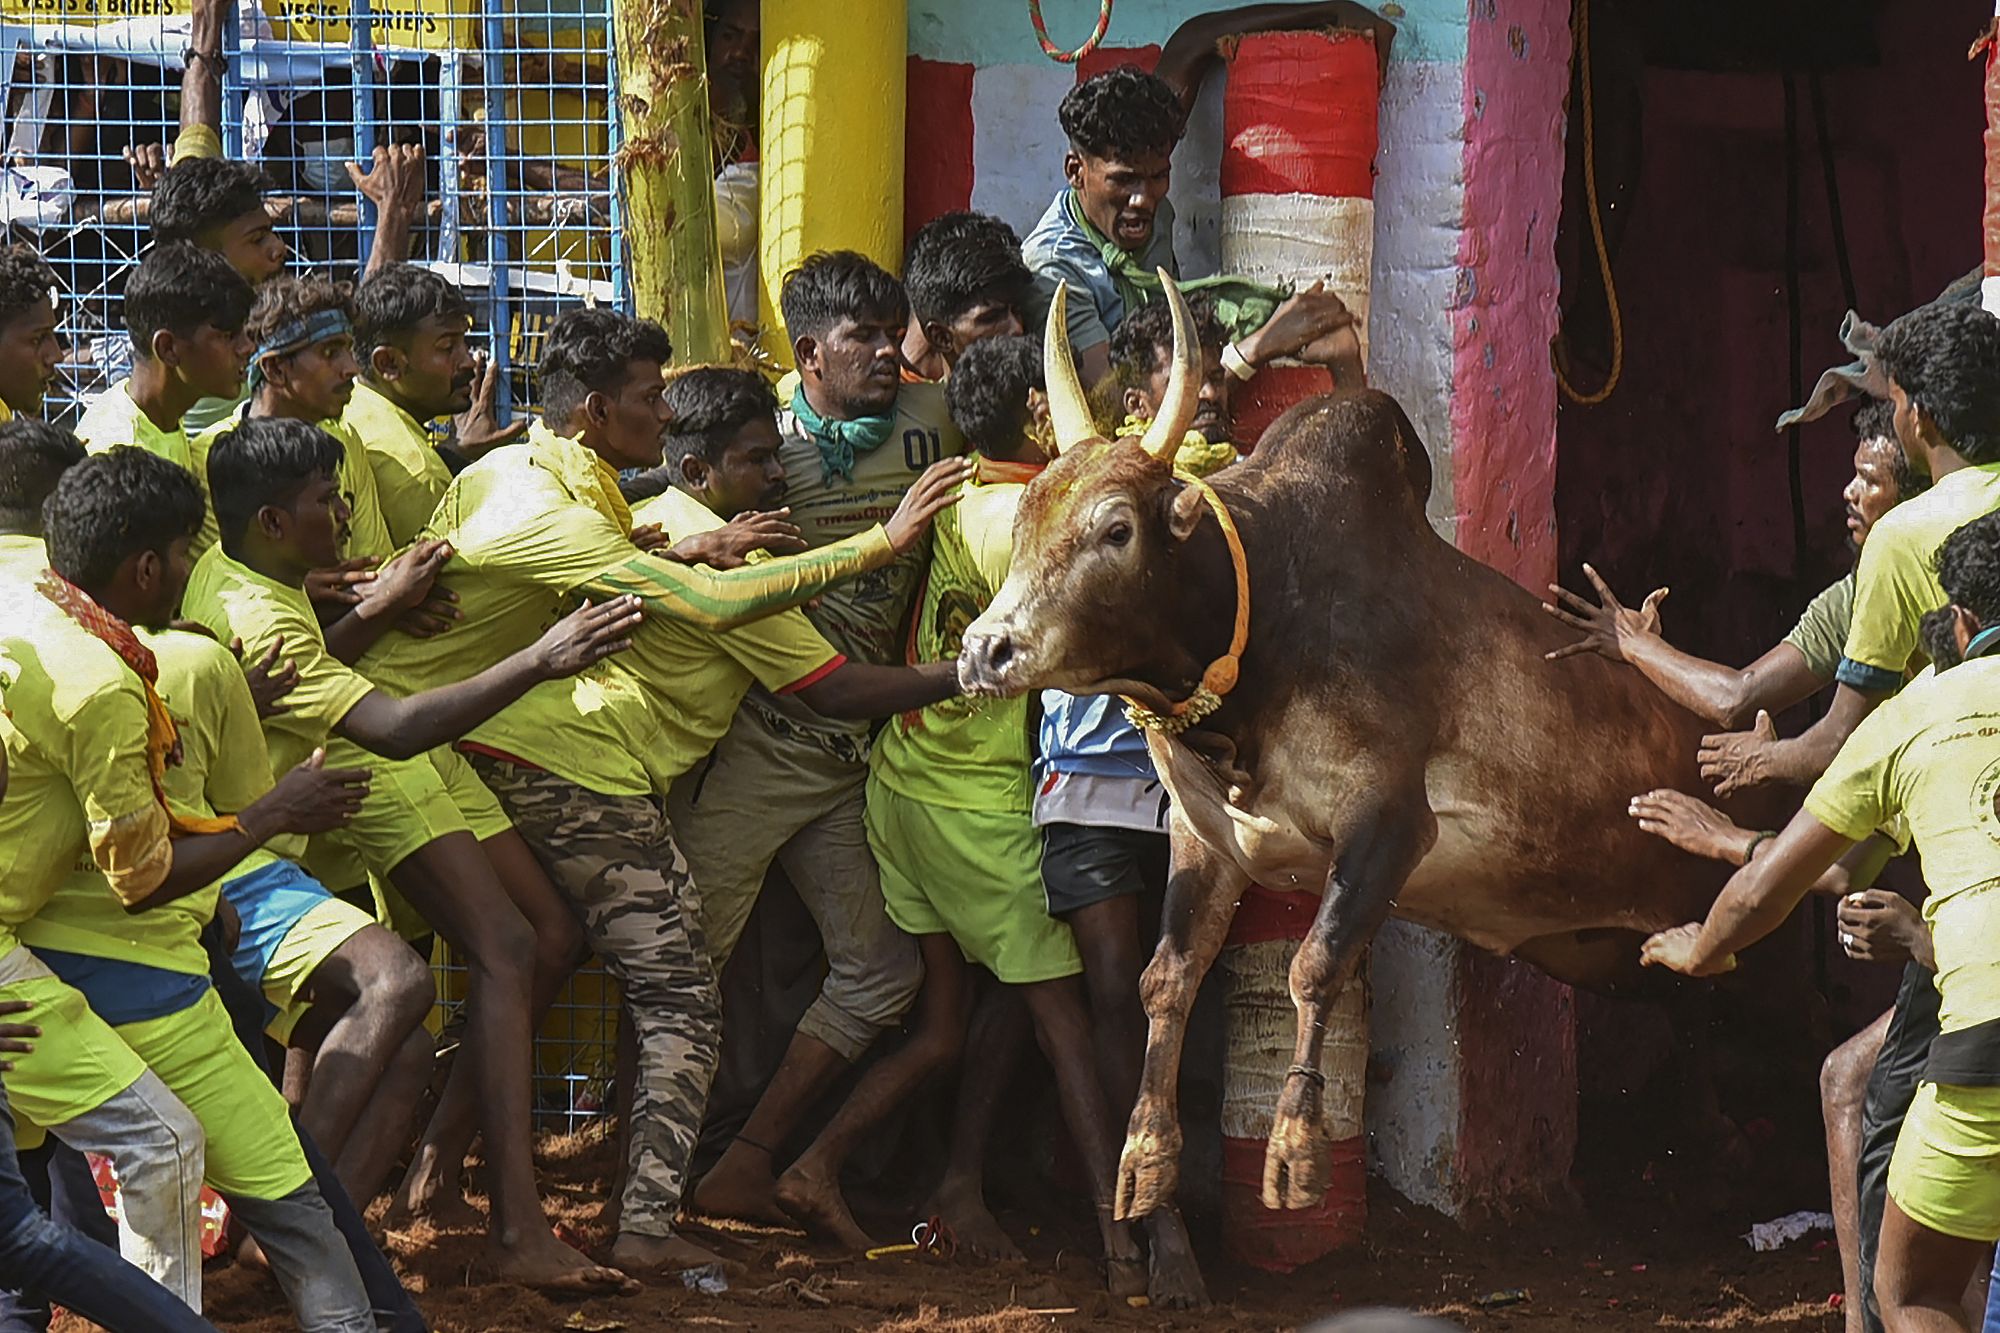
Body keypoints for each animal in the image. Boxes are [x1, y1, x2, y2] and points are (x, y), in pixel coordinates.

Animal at [960, 274, 1760, 1216]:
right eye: (1022, 520)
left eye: (1116, 528)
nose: (984, 651)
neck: (1264, 621)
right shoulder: (1204, 839)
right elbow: (1167, 977)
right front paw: (1144, 1155)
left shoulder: (1391, 823)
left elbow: (1315, 964)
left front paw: (1297, 1147)